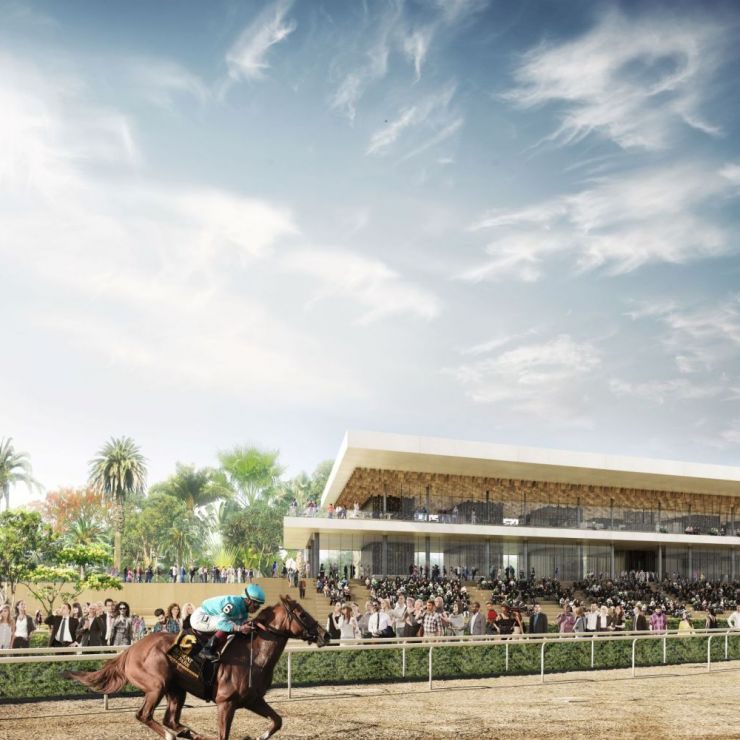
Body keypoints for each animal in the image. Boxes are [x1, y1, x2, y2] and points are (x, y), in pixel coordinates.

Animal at [65, 595, 330, 740]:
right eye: (302, 615)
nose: (325, 635)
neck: (254, 655)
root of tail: (130, 650)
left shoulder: (253, 700)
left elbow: (277, 721)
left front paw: (259, 735)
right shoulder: (226, 703)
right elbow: (224, 735)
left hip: (176, 689)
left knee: (170, 719)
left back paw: (188, 732)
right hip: (156, 685)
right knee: (145, 715)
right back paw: (173, 735)